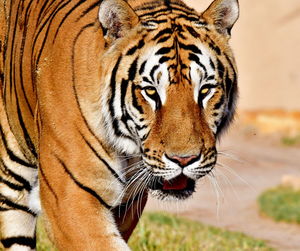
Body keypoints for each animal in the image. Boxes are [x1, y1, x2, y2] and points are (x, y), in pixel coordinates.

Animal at [0, 0, 239, 249]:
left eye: (205, 90)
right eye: (151, 92)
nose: (184, 159)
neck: (129, 151)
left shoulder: (127, 203)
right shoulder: (71, 198)